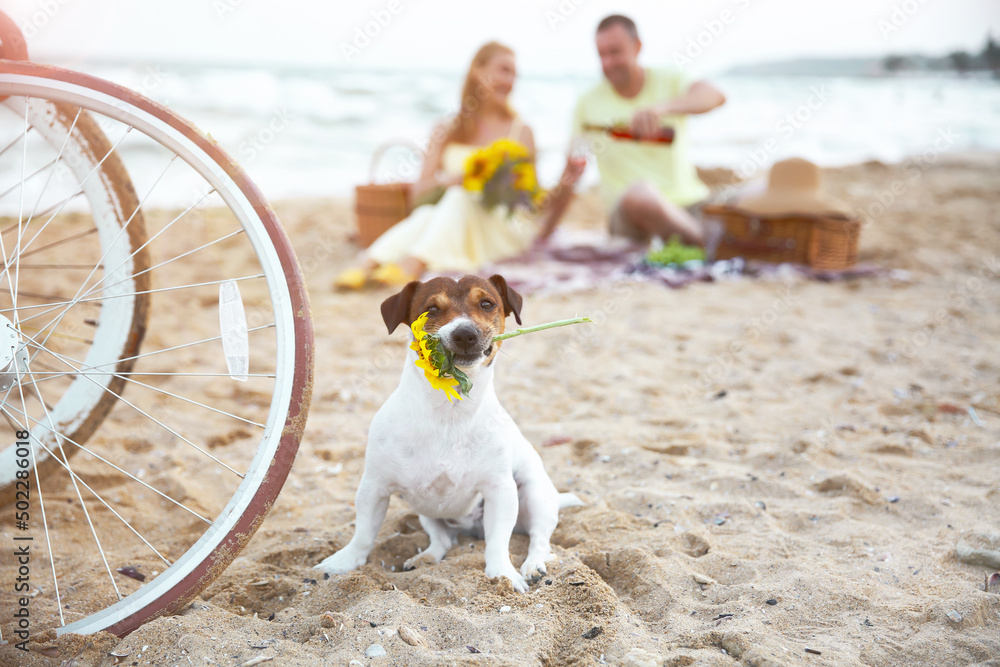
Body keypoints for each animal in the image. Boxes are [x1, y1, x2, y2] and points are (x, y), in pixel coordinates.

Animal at [316, 274, 584, 592]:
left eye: (486, 303)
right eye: (431, 308)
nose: (465, 334)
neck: (449, 410)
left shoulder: (500, 491)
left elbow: (499, 543)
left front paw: (503, 574)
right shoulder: (374, 487)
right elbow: (364, 534)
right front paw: (344, 562)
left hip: (534, 494)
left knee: (539, 540)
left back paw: (533, 566)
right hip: (427, 512)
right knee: (442, 539)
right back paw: (426, 557)